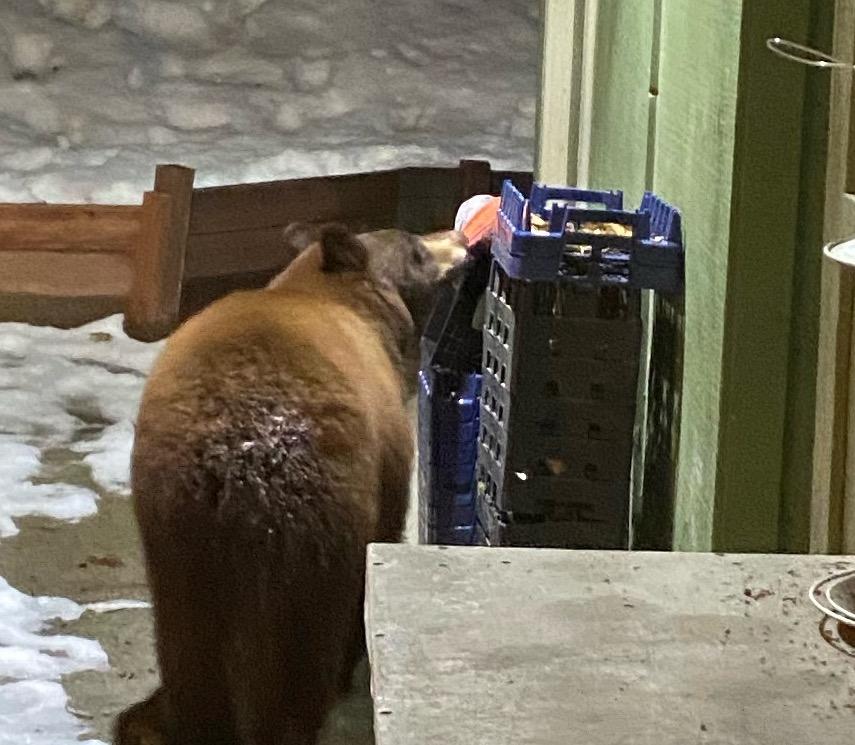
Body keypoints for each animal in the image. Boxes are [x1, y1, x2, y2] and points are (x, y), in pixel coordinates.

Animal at [114, 223, 457, 745]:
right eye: (416, 251)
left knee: (191, 658)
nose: (461, 243)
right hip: (318, 533)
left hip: (176, 543)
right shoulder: (389, 455)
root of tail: (239, 464)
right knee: (304, 653)